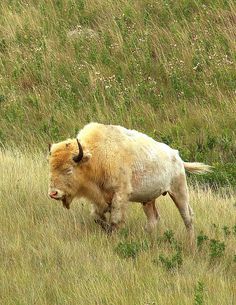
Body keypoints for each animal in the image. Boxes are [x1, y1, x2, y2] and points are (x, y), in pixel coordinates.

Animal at [47, 122, 210, 243]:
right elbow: (97, 217)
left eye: (68, 170)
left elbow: (115, 220)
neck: (96, 157)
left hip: (179, 191)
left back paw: (191, 244)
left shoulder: (120, 194)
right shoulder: (98, 198)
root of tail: (177, 157)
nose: (53, 193)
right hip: (148, 200)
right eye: (50, 168)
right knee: (153, 220)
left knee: (187, 217)